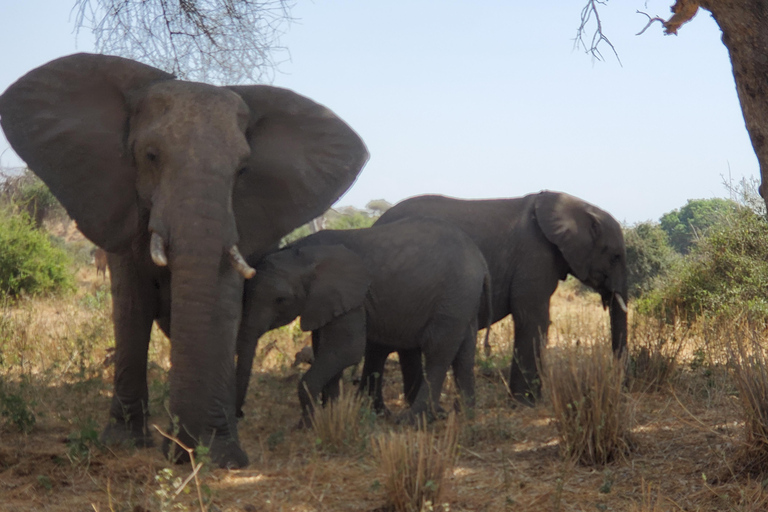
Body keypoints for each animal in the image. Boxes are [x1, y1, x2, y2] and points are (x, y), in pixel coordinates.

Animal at [0, 54, 368, 466]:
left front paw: (221, 454)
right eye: (151, 156)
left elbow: (222, 305)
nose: (181, 452)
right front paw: (124, 443)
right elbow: (132, 306)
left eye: (243, 170)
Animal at [237, 218, 492, 426]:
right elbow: (325, 349)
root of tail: (480, 258)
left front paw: (308, 425)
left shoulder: (352, 297)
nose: (240, 414)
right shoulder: (324, 302)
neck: (303, 253)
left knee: (437, 353)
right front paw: (331, 415)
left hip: (453, 296)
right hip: (463, 299)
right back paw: (463, 415)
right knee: (464, 352)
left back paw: (412, 420)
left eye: (281, 300)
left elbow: (347, 349)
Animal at [376, 190, 628, 406]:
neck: (577, 208)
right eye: (615, 256)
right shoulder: (534, 256)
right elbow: (532, 319)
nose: (620, 385)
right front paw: (527, 404)